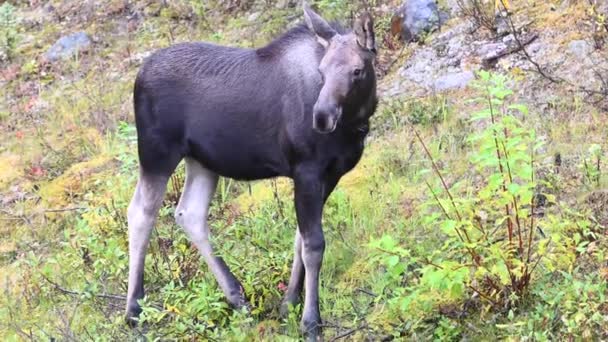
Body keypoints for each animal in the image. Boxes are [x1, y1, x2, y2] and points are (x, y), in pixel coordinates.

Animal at [126, 2, 378, 340]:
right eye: (322, 71)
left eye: (357, 70)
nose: (322, 116)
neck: (354, 124)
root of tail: (138, 76)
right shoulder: (307, 170)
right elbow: (313, 245)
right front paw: (311, 321)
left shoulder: (330, 175)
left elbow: (299, 239)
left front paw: (289, 304)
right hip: (157, 154)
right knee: (141, 213)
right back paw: (133, 309)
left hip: (202, 161)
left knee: (189, 213)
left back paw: (237, 298)